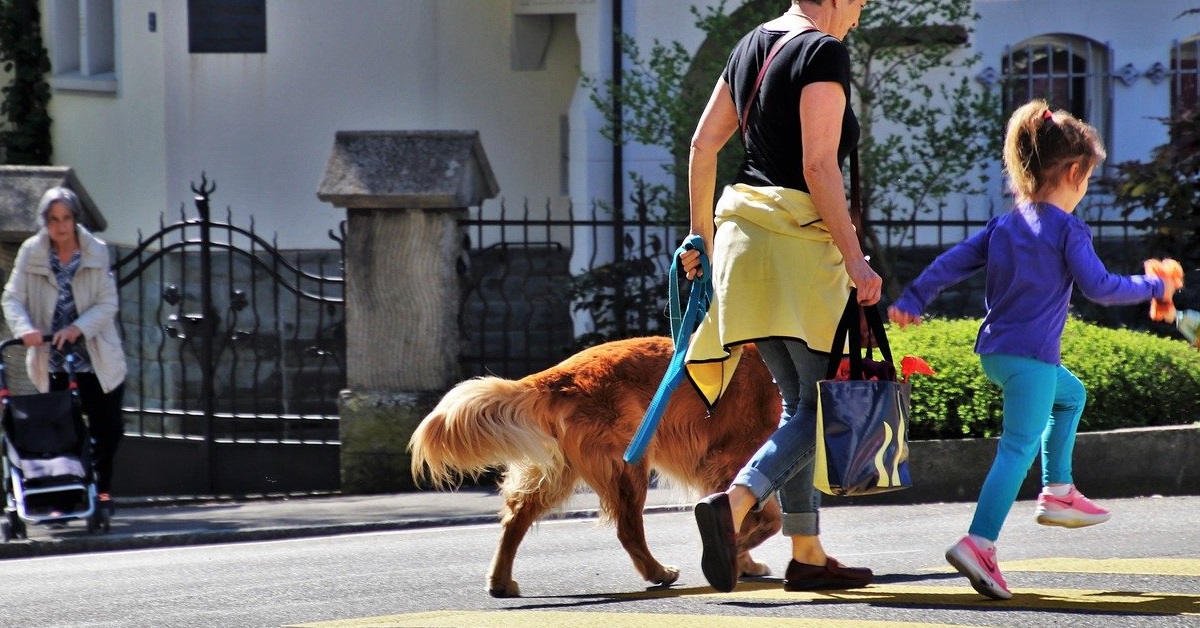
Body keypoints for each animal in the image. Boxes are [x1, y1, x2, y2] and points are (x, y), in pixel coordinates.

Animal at [408, 336, 782, 597]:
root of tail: (559, 375)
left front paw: (741, 561)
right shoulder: (734, 458)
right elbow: (766, 520)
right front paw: (735, 554)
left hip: (559, 472)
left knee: (515, 518)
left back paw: (500, 581)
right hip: (629, 464)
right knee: (628, 529)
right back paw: (658, 572)